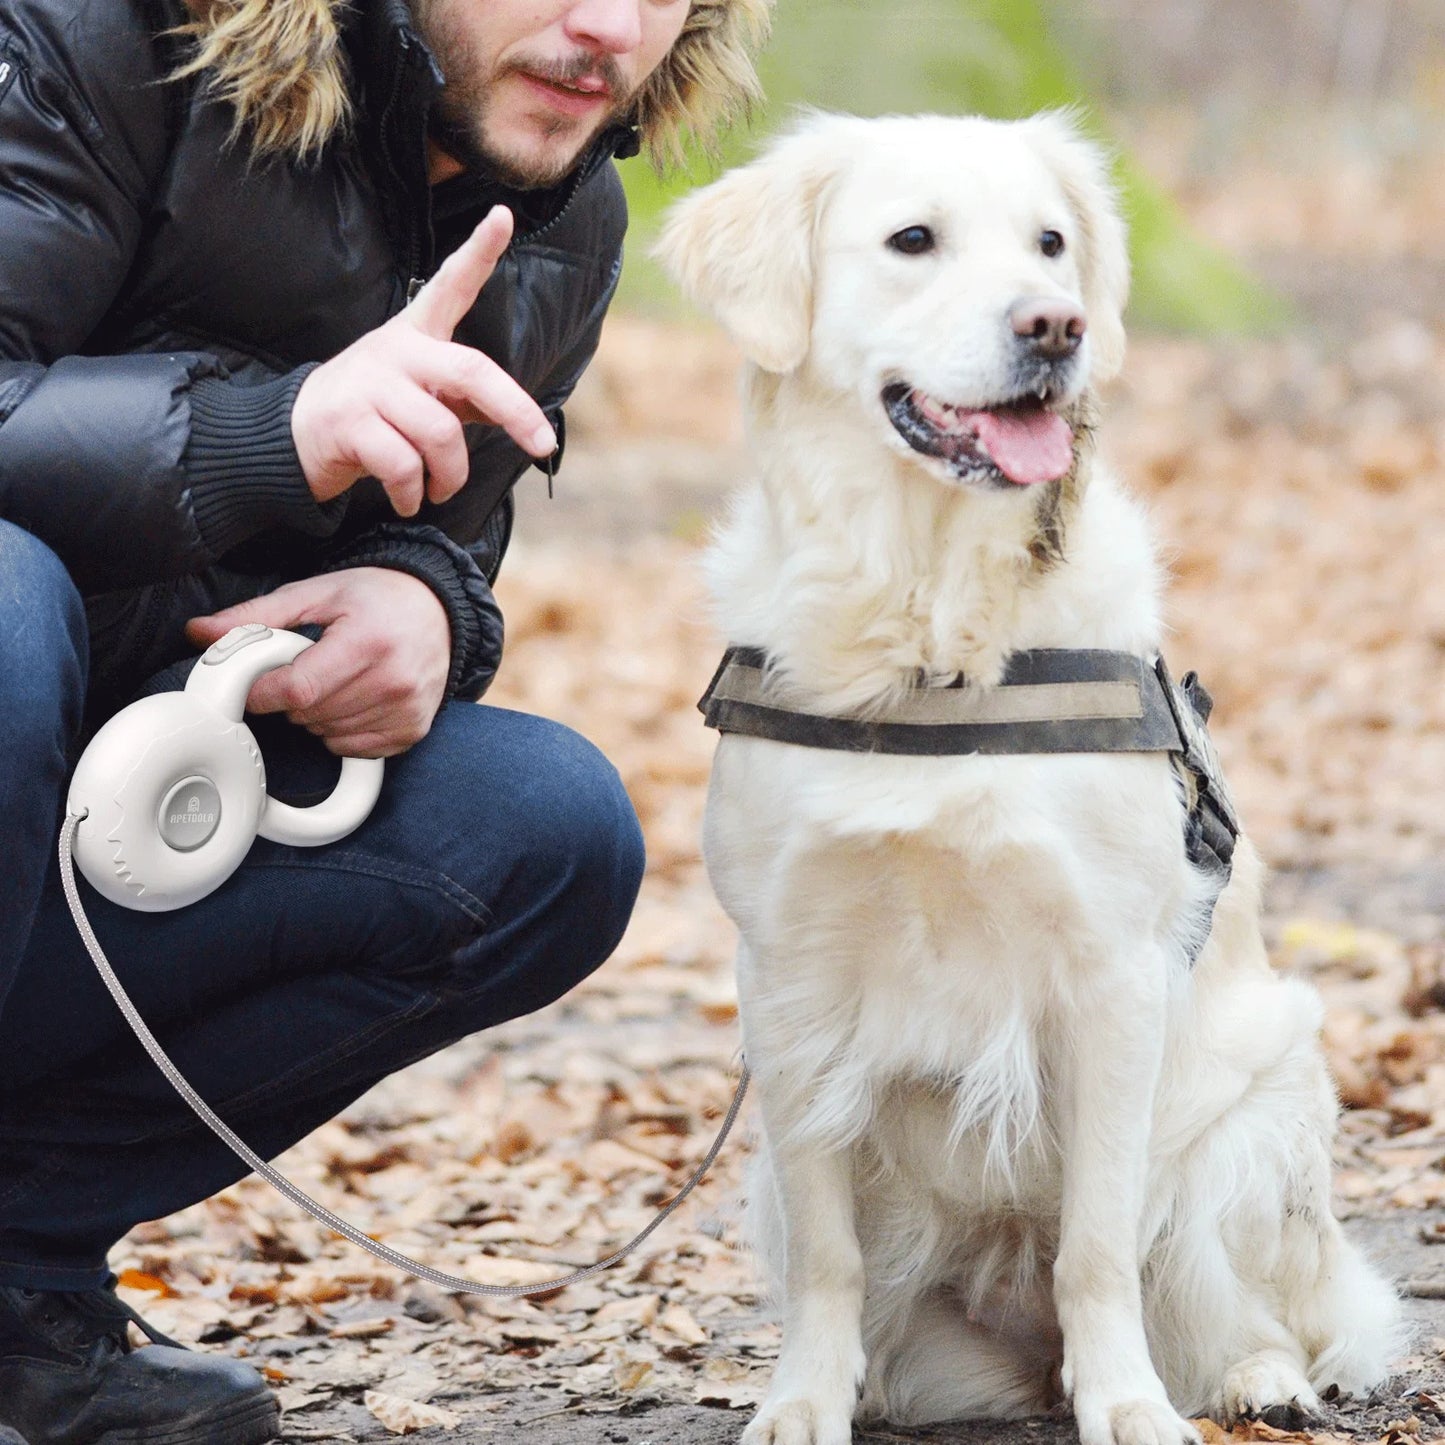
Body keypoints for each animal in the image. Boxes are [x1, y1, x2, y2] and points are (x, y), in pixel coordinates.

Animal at [658, 112, 1398, 1445]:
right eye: (912, 239)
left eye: (1051, 244)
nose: (1053, 324)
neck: (931, 641)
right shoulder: (786, 985)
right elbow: (830, 1257)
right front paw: (801, 1399)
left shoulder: (1110, 977)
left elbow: (1096, 1243)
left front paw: (1125, 1404)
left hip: (1251, 1120)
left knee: (1240, 1305)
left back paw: (1253, 1379)